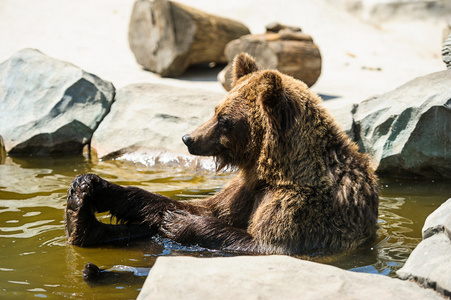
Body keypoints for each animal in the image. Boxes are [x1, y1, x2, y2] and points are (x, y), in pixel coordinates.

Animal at [65, 53, 380, 255]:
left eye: (225, 119)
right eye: (215, 110)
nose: (188, 138)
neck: (273, 168)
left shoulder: (301, 206)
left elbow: (266, 244)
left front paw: (178, 222)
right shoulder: (245, 190)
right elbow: (203, 207)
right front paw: (97, 186)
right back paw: (79, 210)